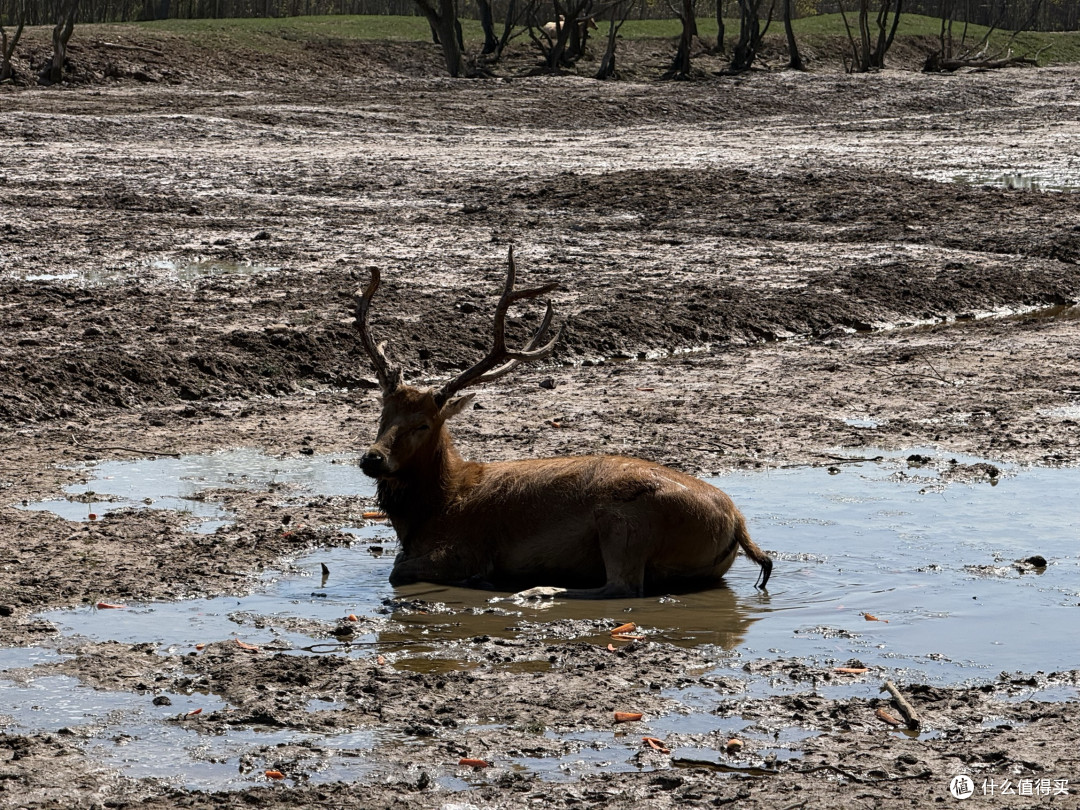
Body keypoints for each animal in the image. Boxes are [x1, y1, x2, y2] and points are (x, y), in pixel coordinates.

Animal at [353, 248, 772, 599]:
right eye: (383, 414)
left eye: (423, 424)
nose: (372, 458)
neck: (433, 511)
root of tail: (737, 522)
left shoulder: (463, 549)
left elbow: (398, 570)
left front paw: (482, 578)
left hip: (625, 523)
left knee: (621, 586)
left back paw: (536, 590)